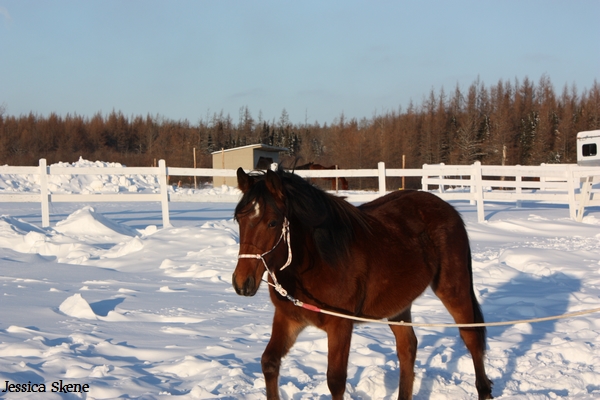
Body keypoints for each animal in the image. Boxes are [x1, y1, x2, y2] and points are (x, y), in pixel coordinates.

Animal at [233, 166, 492, 400]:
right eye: (239, 219)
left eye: (273, 222)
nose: (242, 283)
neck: (320, 259)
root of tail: (448, 209)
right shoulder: (289, 318)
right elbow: (269, 362)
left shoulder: (340, 325)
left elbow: (335, 381)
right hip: (398, 305)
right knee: (407, 348)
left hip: (453, 289)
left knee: (472, 339)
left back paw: (484, 390)